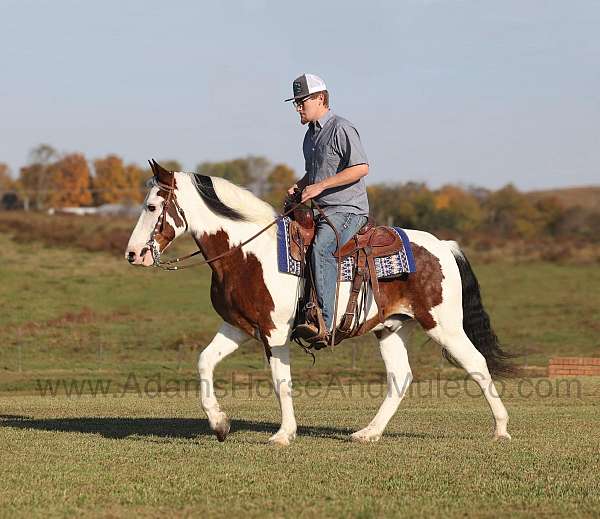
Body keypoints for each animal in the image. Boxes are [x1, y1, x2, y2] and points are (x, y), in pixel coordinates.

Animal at [124, 162, 512, 446]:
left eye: (152, 206)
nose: (133, 254)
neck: (246, 253)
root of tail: (443, 245)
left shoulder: (274, 332)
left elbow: (281, 382)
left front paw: (284, 435)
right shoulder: (238, 326)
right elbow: (205, 362)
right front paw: (220, 425)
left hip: (443, 326)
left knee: (477, 364)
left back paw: (501, 429)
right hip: (391, 328)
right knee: (400, 377)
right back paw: (368, 433)